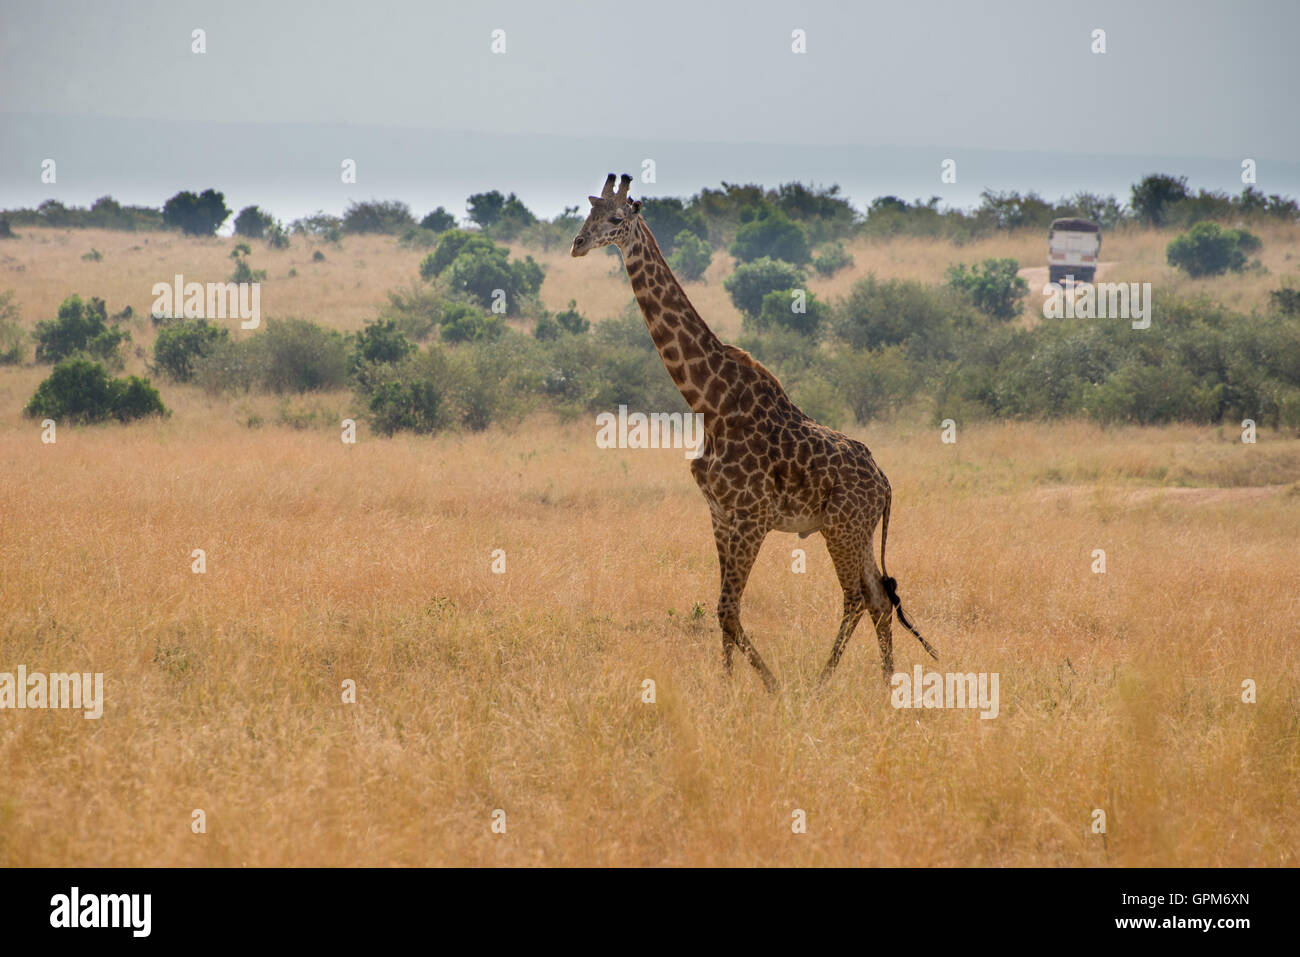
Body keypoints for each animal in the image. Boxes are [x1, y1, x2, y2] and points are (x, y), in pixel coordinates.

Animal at [572, 175, 935, 691]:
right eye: (587, 212)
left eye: (616, 218)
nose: (578, 243)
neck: (708, 400)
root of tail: (885, 485)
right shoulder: (720, 514)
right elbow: (726, 610)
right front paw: (727, 686)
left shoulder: (751, 517)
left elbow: (727, 608)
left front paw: (770, 684)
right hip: (856, 530)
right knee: (881, 598)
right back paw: (886, 683)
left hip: (841, 528)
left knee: (856, 597)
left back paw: (821, 683)